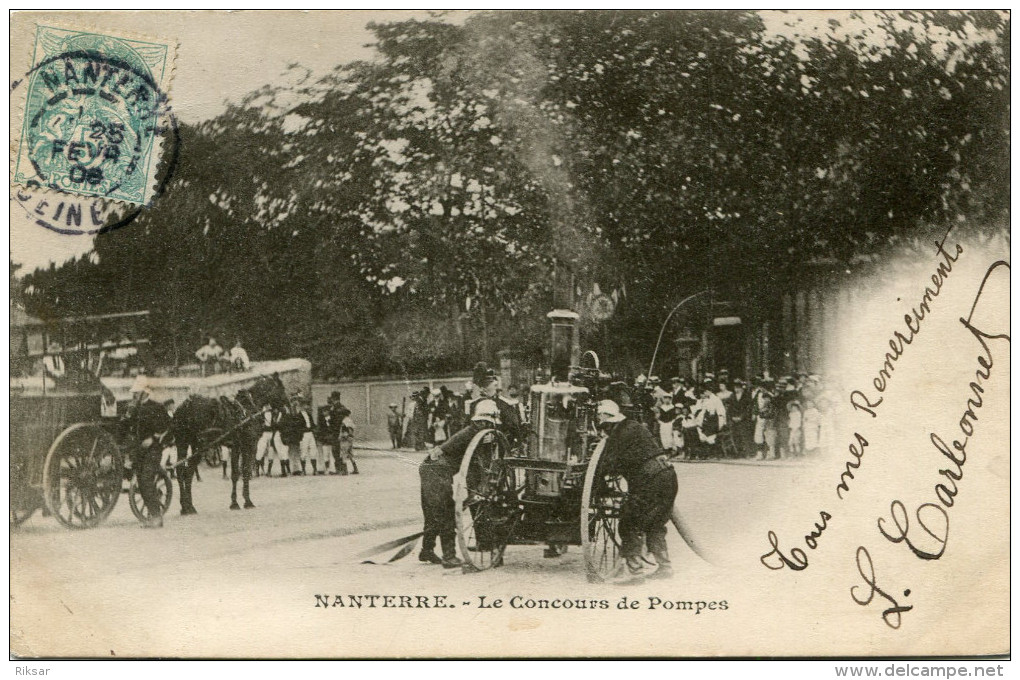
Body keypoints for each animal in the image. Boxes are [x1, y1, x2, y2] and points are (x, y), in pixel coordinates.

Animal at [172, 375, 287, 513]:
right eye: (282, 388)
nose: (287, 408)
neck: (248, 410)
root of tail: (184, 408)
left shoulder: (236, 447)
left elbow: (239, 472)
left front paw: (239, 501)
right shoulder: (246, 445)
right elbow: (241, 472)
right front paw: (241, 502)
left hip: (186, 444)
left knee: (183, 471)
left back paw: (186, 507)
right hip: (199, 446)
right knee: (187, 471)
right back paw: (188, 506)